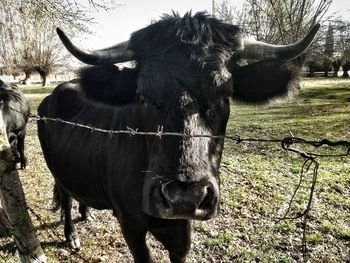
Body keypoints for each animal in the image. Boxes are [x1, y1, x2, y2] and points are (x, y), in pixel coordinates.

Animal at [37, 11, 318, 263]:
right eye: (142, 94)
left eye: (224, 93)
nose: (184, 198)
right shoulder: (130, 224)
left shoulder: (182, 232)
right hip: (55, 169)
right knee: (65, 197)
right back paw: (71, 236)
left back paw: (87, 213)